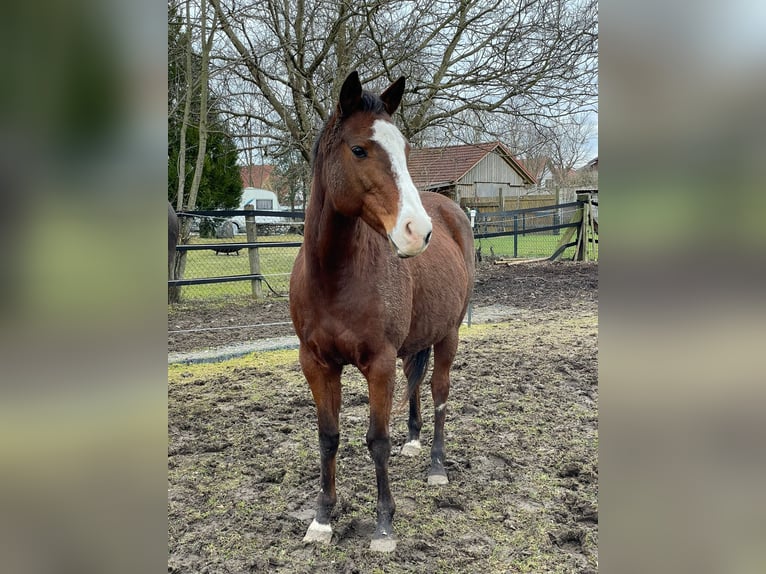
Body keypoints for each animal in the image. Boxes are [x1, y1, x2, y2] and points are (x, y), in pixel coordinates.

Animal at [292, 72, 476, 552]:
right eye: (359, 149)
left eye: (406, 151)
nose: (417, 231)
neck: (335, 277)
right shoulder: (316, 363)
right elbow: (328, 437)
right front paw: (322, 518)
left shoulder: (378, 364)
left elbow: (377, 441)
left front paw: (384, 526)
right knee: (416, 381)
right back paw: (414, 443)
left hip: (449, 334)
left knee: (439, 392)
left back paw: (436, 466)